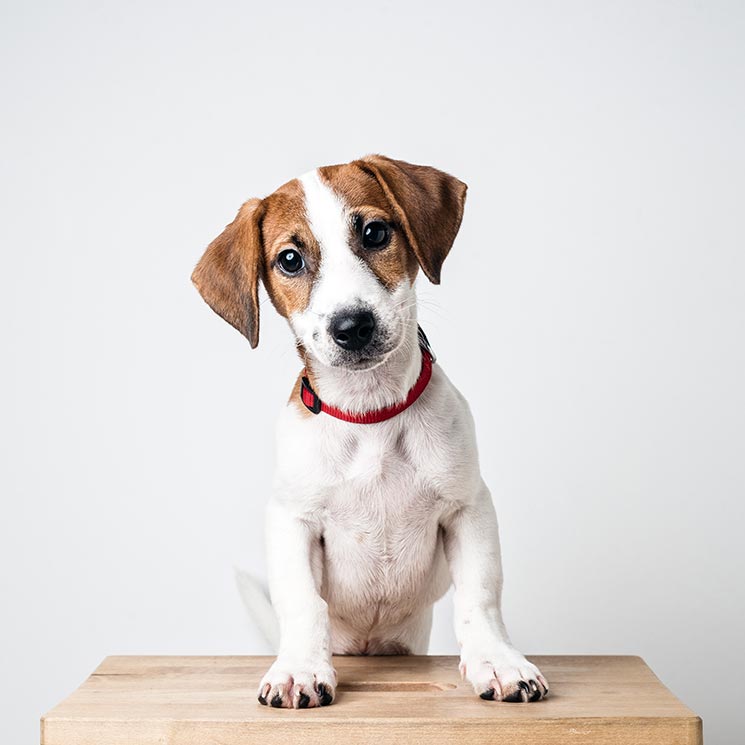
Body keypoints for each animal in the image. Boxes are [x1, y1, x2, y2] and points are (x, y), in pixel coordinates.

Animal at [193, 154, 548, 708]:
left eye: (375, 232)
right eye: (289, 259)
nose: (352, 326)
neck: (370, 413)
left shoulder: (469, 508)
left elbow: (480, 594)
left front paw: (497, 660)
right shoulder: (292, 519)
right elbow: (302, 602)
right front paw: (299, 669)